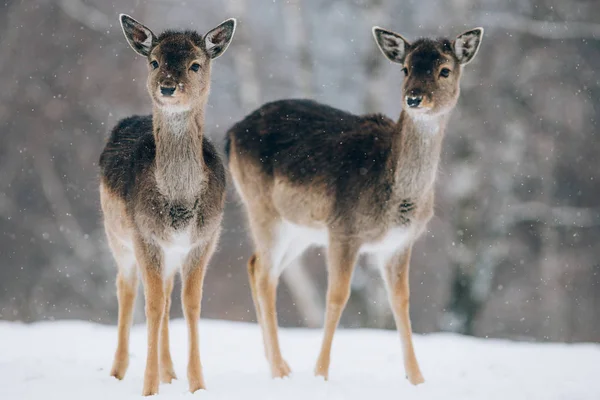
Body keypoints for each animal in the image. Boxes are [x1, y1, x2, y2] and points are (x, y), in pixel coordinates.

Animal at [99, 14, 236, 396]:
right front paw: (148, 388)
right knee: (127, 288)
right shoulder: (144, 236)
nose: (168, 87)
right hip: (116, 236)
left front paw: (196, 384)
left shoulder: (204, 239)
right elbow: (153, 304)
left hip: (169, 253)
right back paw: (118, 371)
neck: (179, 203)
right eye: (155, 61)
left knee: (165, 291)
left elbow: (190, 304)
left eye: (195, 64)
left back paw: (169, 372)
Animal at [225, 25, 482, 384]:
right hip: (262, 209)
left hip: (300, 229)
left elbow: (401, 300)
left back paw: (281, 364)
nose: (414, 97)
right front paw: (320, 373)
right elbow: (337, 296)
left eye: (444, 70)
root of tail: (230, 134)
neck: (397, 200)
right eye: (405, 69)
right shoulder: (343, 230)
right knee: (264, 274)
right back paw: (278, 369)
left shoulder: (400, 242)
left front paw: (416, 378)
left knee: (256, 265)